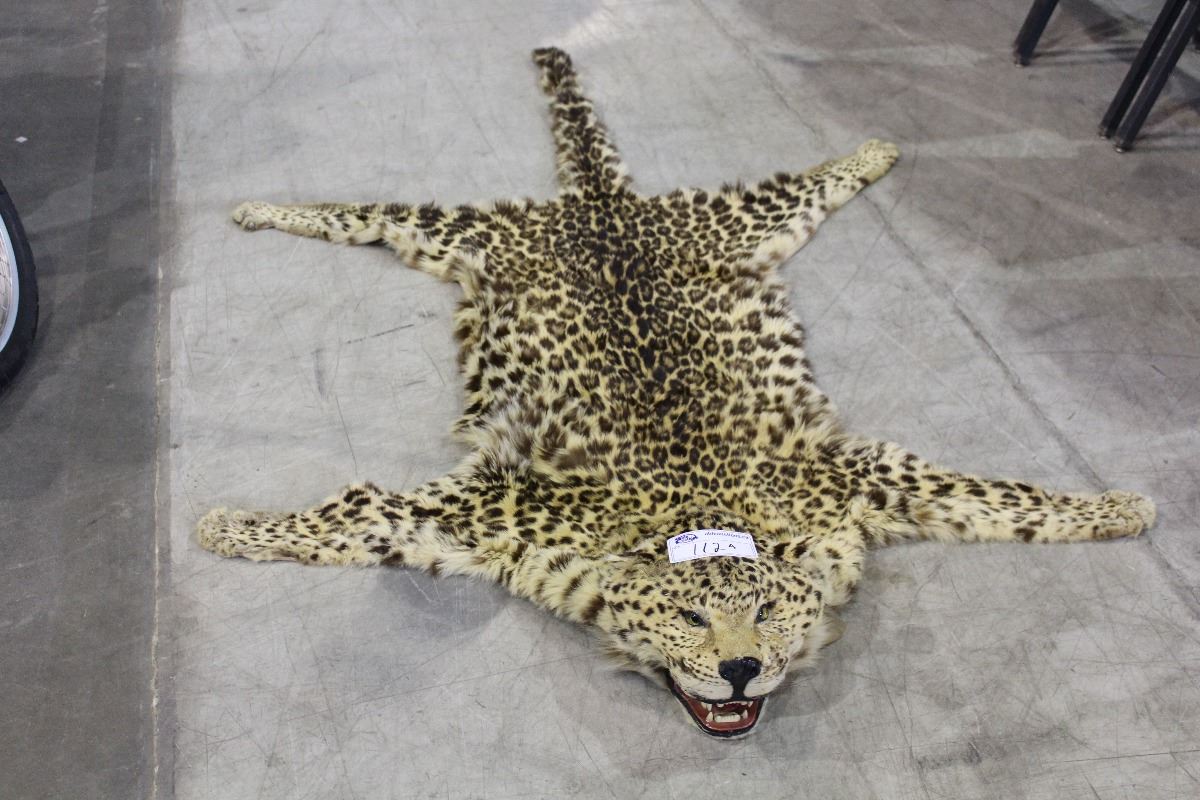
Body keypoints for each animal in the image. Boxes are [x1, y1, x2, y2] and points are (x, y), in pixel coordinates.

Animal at [197, 47, 1156, 738]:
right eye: (691, 618)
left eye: (766, 610)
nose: (740, 669)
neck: (697, 511)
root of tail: (602, 205)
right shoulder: (493, 508)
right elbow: (354, 517)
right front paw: (228, 526)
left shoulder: (849, 483)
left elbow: (1001, 499)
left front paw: (1117, 505)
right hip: (472, 234)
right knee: (370, 213)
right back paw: (257, 208)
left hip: (735, 225)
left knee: (801, 186)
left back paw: (873, 148)